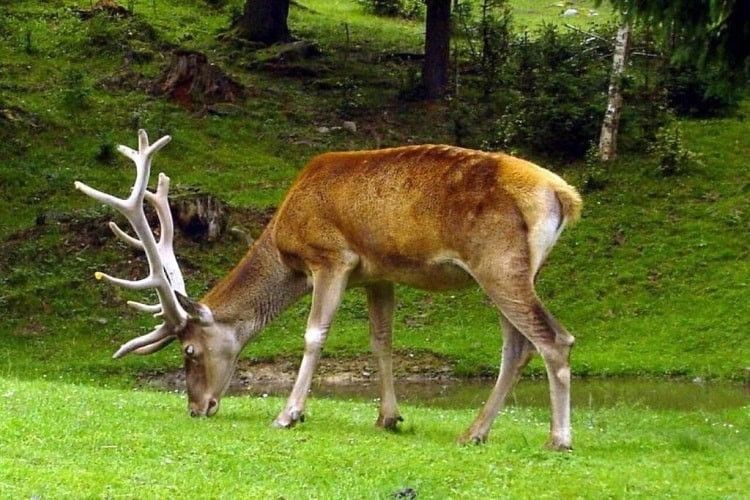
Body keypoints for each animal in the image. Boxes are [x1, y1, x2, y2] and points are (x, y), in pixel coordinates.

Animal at [75, 130, 582, 450]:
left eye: (190, 352)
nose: (197, 408)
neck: (285, 243)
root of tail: (563, 196)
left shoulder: (332, 258)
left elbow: (315, 334)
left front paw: (288, 414)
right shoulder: (378, 273)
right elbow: (382, 340)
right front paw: (388, 417)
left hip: (498, 263)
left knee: (554, 338)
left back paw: (558, 438)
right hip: (514, 271)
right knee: (518, 345)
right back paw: (474, 432)